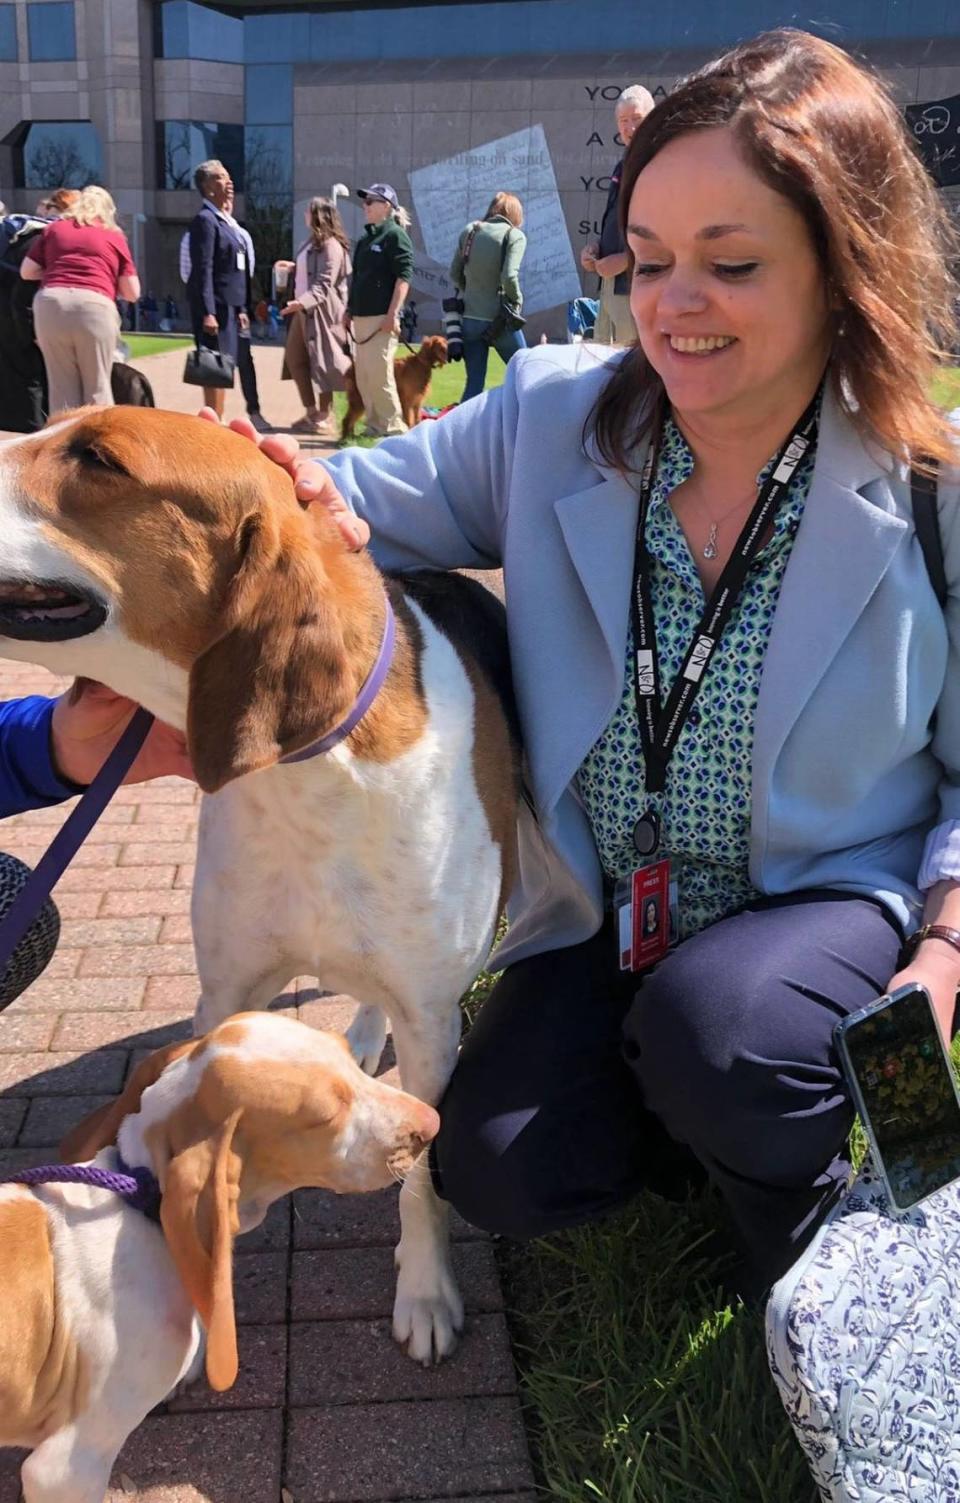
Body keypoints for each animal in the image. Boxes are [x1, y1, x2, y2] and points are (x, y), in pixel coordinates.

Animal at [0, 405, 516, 1370]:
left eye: (99, 459)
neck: (308, 774)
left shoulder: (435, 1023)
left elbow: (422, 1177)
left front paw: (426, 1292)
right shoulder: (229, 990)